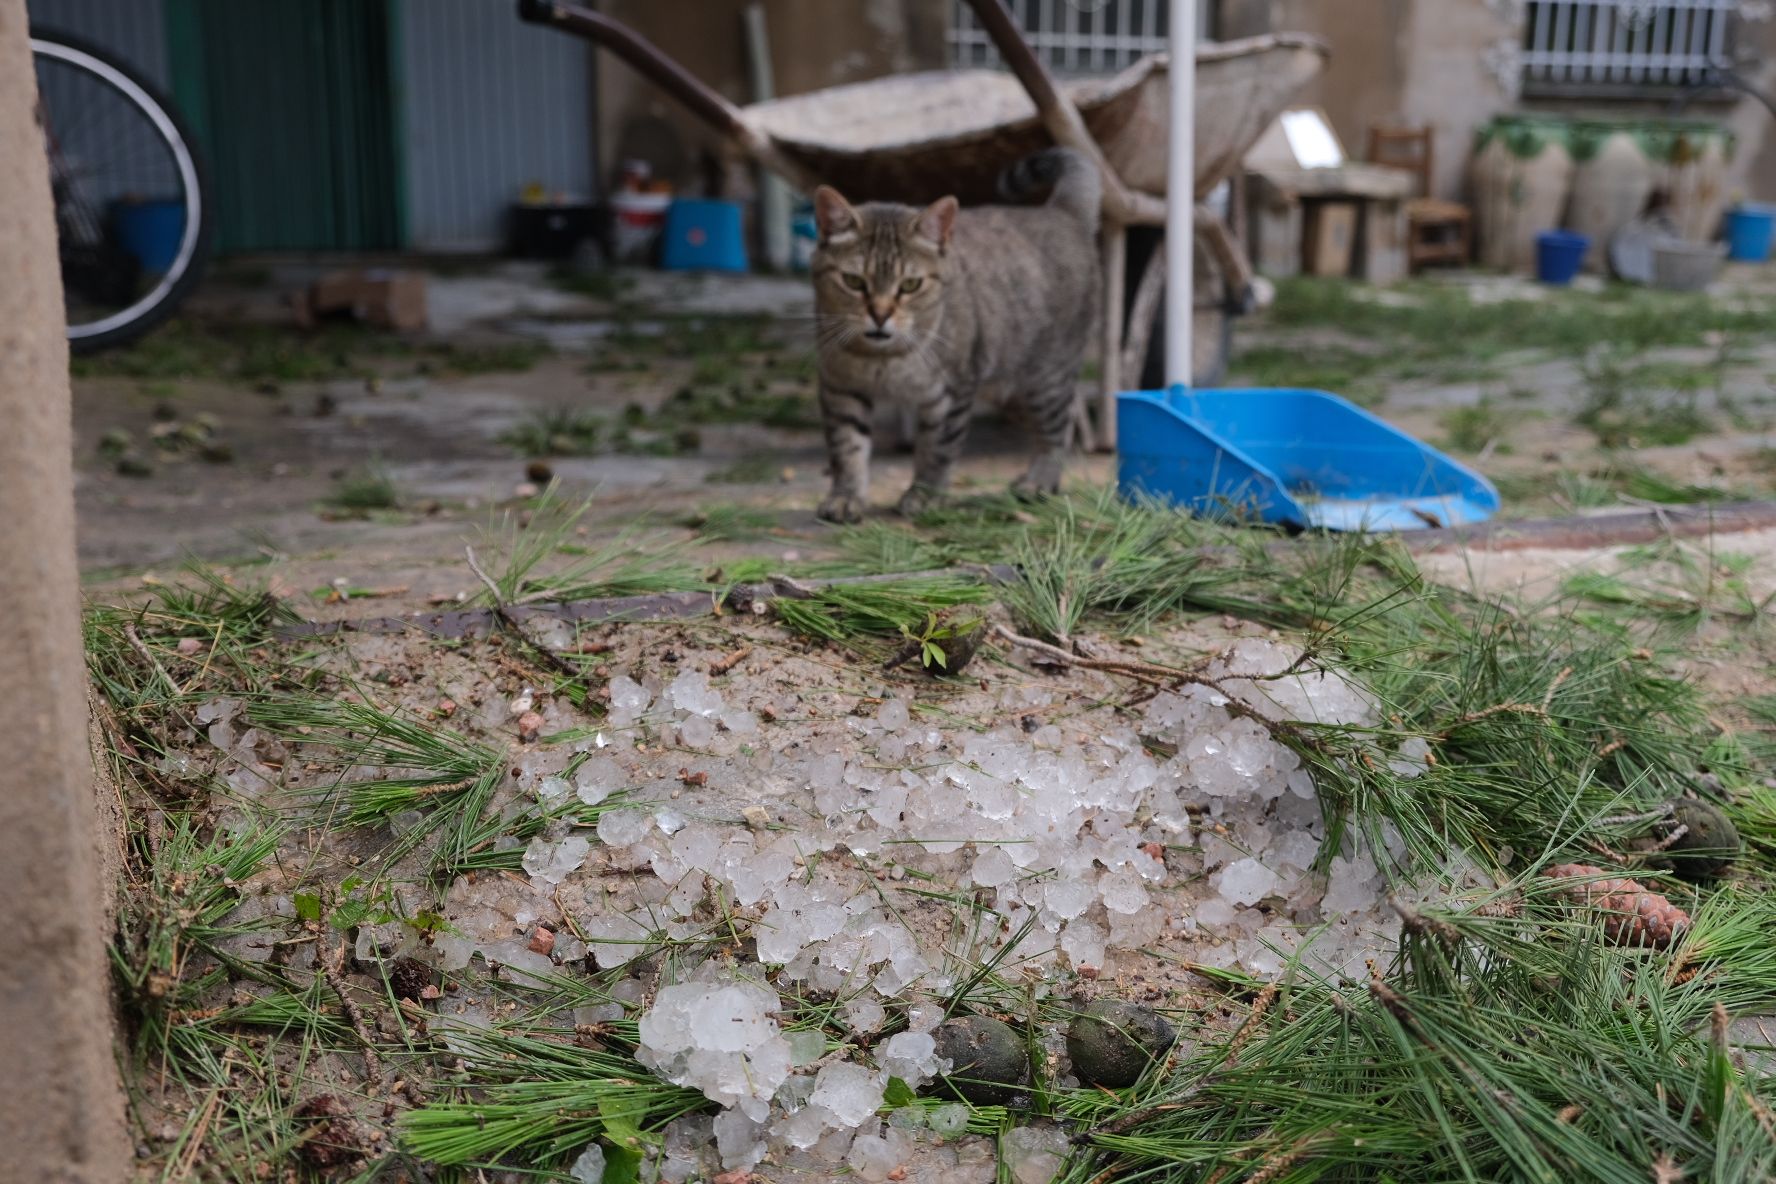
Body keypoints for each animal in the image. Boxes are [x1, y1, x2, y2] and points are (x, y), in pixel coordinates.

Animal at [813, 144, 1101, 521]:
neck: (884, 359)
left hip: (1046, 378)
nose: (880, 314)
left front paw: (925, 495)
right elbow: (847, 448)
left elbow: (937, 448)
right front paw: (846, 497)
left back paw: (1038, 482)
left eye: (910, 284)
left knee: (1057, 431)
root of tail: (1061, 212)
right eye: (853, 281)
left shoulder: (950, 393)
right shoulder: (841, 388)